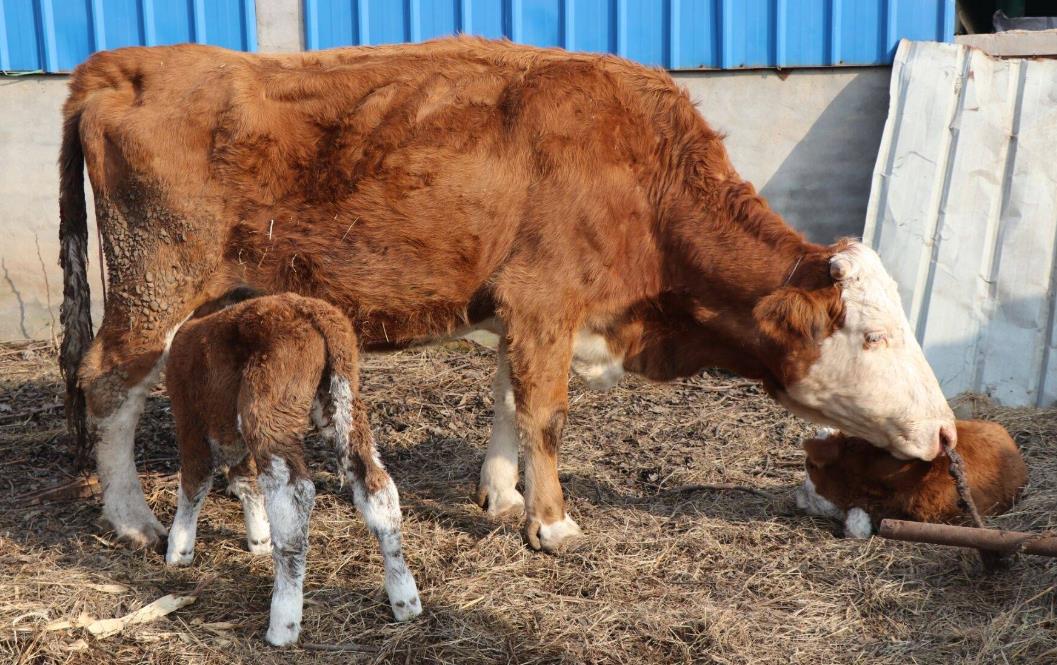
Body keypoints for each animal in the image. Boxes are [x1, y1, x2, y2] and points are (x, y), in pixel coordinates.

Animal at [59, 38, 959, 553]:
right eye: (873, 336)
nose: (947, 430)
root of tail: (130, 64)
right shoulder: (546, 300)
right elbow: (545, 412)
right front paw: (551, 521)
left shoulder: (522, 308)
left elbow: (507, 399)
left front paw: (501, 493)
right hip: (154, 280)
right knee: (108, 381)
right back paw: (130, 517)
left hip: (214, 294)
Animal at [164, 289, 420, 642]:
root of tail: (312, 312)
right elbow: (246, 479)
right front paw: (259, 538)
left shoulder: (189, 417)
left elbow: (195, 480)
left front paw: (179, 550)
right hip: (341, 397)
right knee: (375, 485)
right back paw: (405, 596)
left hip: (271, 405)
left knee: (293, 496)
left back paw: (283, 620)